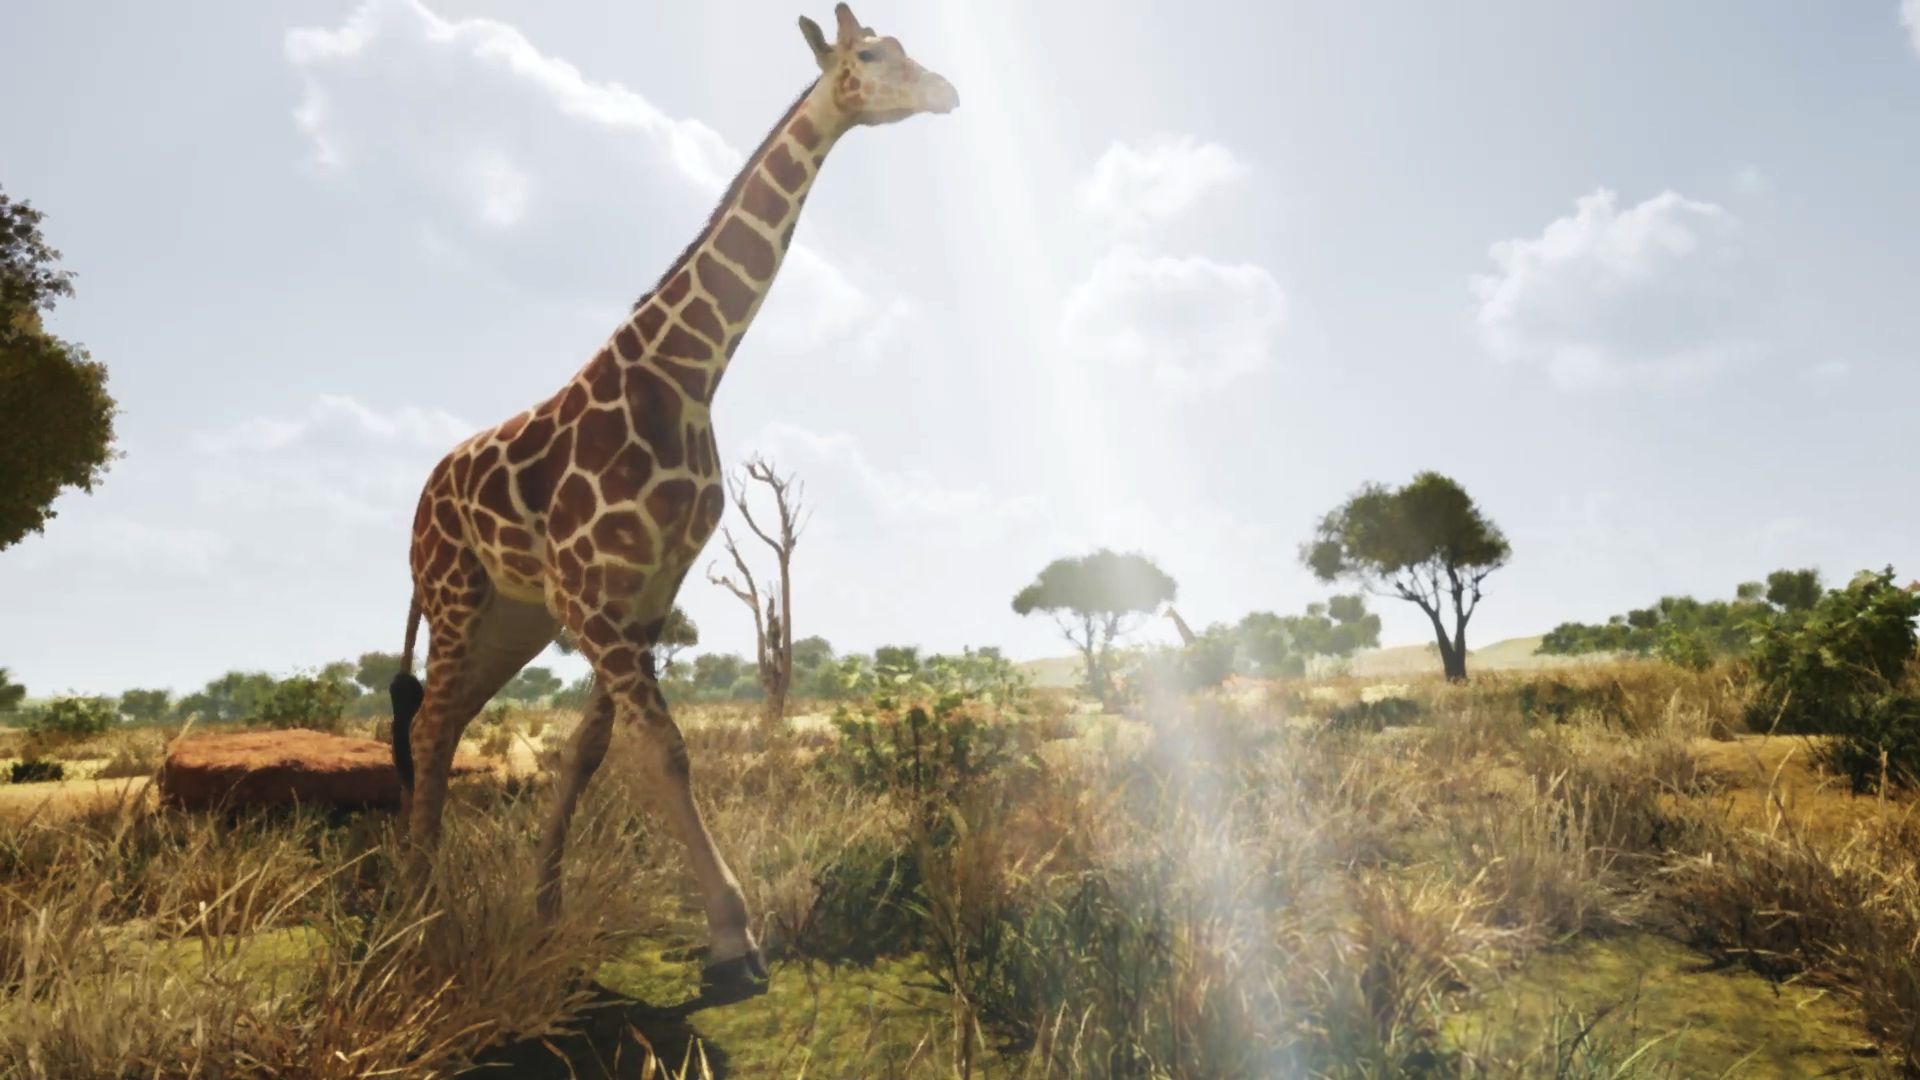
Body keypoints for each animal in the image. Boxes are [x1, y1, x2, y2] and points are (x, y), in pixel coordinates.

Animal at [384, 3, 957, 999]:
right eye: (869, 53)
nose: (946, 90)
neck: (688, 376)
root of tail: (417, 507)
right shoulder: (596, 594)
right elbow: (668, 752)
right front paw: (735, 941)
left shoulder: (645, 593)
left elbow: (591, 754)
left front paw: (546, 908)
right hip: (455, 597)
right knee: (426, 729)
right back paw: (421, 907)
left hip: (512, 619)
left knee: (443, 723)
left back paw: (428, 892)